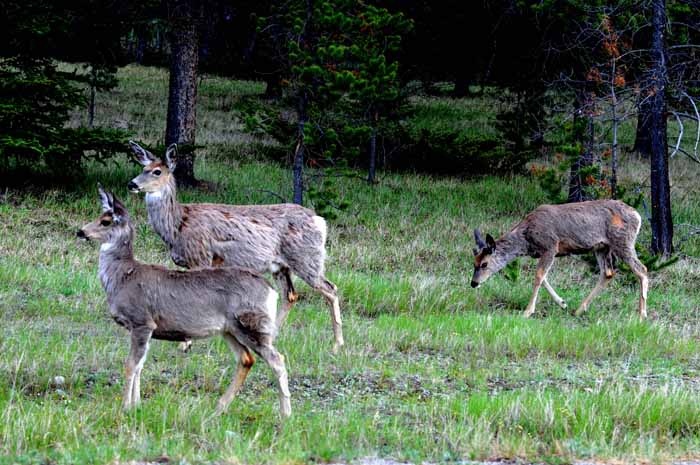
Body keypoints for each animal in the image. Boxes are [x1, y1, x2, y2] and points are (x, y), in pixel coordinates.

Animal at [77, 187, 292, 418]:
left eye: (106, 221)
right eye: (99, 216)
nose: (80, 232)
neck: (123, 276)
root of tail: (271, 290)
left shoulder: (142, 321)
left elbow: (131, 365)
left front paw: (125, 407)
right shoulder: (144, 328)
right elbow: (140, 365)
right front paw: (137, 405)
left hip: (253, 323)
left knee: (277, 360)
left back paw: (285, 414)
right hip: (230, 329)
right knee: (246, 359)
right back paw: (219, 408)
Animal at [126, 140, 344, 352]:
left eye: (157, 171)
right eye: (143, 167)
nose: (132, 184)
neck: (177, 225)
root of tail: (320, 220)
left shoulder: (201, 257)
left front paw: (185, 344)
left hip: (306, 258)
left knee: (330, 289)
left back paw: (337, 345)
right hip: (281, 265)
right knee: (290, 295)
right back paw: (273, 335)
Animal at [474, 199, 648, 320]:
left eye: (484, 264)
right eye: (474, 262)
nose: (473, 283)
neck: (526, 240)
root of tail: (637, 215)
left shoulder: (551, 246)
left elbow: (539, 276)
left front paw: (527, 311)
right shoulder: (543, 252)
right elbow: (543, 277)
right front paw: (563, 303)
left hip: (623, 241)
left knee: (642, 270)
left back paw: (641, 315)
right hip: (601, 247)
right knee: (608, 273)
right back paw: (578, 310)